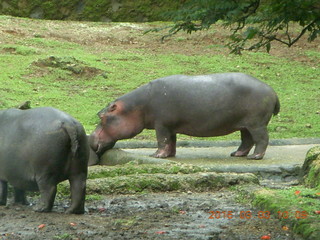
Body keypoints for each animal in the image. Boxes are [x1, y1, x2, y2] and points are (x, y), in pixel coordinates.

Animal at [90, 72, 280, 160]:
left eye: (102, 117)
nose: (90, 138)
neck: (137, 106)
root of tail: (272, 90)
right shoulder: (170, 126)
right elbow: (171, 141)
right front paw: (169, 156)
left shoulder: (161, 125)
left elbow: (162, 140)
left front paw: (156, 155)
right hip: (244, 125)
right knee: (246, 140)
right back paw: (236, 154)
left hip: (256, 124)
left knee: (262, 139)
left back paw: (256, 157)